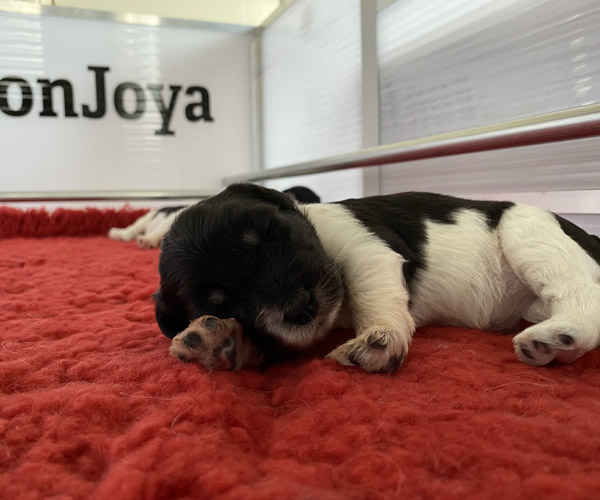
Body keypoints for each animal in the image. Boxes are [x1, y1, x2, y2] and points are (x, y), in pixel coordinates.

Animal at [155, 183, 600, 373]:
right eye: (220, 301)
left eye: (269, 231)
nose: (300, 307)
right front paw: (215, 340)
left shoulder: (365, 248)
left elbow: (371, 290)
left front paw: (377, 340)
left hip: (528, 233)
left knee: (583, 296)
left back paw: (555, 336)